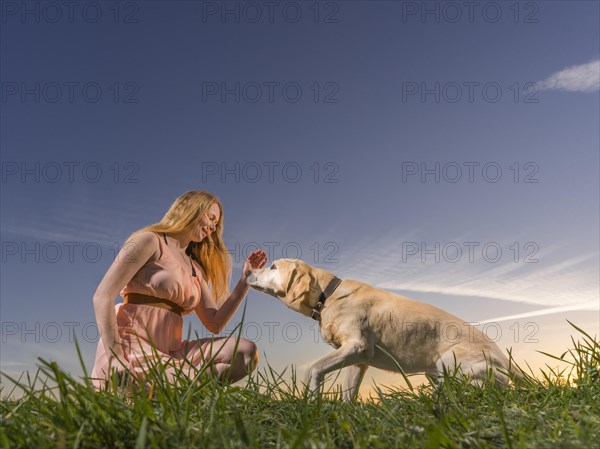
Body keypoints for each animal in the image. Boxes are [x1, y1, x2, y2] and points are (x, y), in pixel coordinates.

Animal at [246, 258, 516, 400]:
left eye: (272, 267)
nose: (248, 271)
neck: (329, 295)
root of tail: (505, 360)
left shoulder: (357, 347)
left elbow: (314, 368)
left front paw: (312, 400)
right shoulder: (358, 360)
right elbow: (348, 394)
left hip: (449, 361)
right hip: (436, 371)